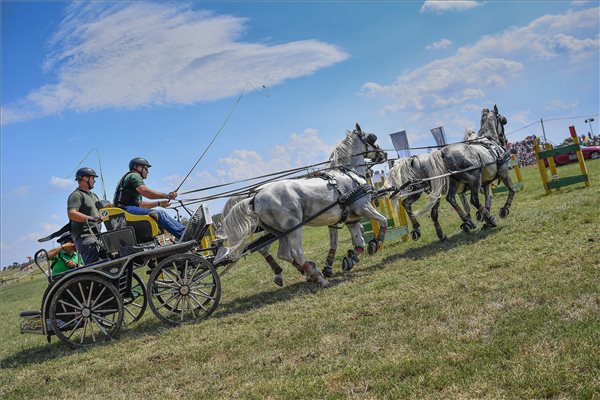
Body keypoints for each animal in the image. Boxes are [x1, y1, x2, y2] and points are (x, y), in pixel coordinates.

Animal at [214, 124, 389, 288]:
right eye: (371, 138)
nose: (384, 154)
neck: (348, 173)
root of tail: (255, 196)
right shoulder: (363, 207)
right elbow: (383, 221)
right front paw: (376, 243)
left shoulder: (351, 218)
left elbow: (359, 242)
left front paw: (350, 259)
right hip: (293, 227)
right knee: (295, 253)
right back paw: (319, 278)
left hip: (279, 232)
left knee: (282, 253)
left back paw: (304, 272)